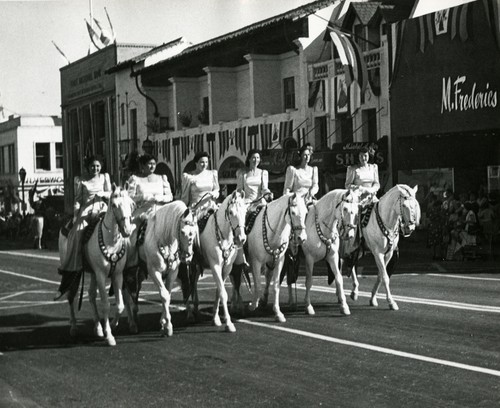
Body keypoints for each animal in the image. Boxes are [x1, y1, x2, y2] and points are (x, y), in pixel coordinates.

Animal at [141, 201, 197, 338]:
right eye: (182, 231)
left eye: (194, 231)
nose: (188, 256)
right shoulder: (154, 272)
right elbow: (164, 295)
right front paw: (168, 326)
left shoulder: (173, 272)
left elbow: (168, 295)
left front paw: (164, 322)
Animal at [198, 190, 247, 334]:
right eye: (231, 212)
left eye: (245, 211)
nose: (241, 238)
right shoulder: (215, 266)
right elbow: (223, 294)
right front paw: (229, 323)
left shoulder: (226, 268)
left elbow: (219, 292)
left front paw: (216, 319)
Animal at [247, 193, 308, 324]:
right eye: (293, 212)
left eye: (306, 212)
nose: (302, 238)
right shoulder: (256, 262)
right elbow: (258, 285)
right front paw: (253, 305)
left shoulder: (279, 261)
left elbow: (275, 286)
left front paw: (278, 313)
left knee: (267, 277)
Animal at [300, 190, 360, 318]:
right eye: (345, 208)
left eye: (357, 211)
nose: (350, 234)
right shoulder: (309, 258)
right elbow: (309, 281)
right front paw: (308, 306)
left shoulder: (333, 257)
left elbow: (339, 278)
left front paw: (344, 306)